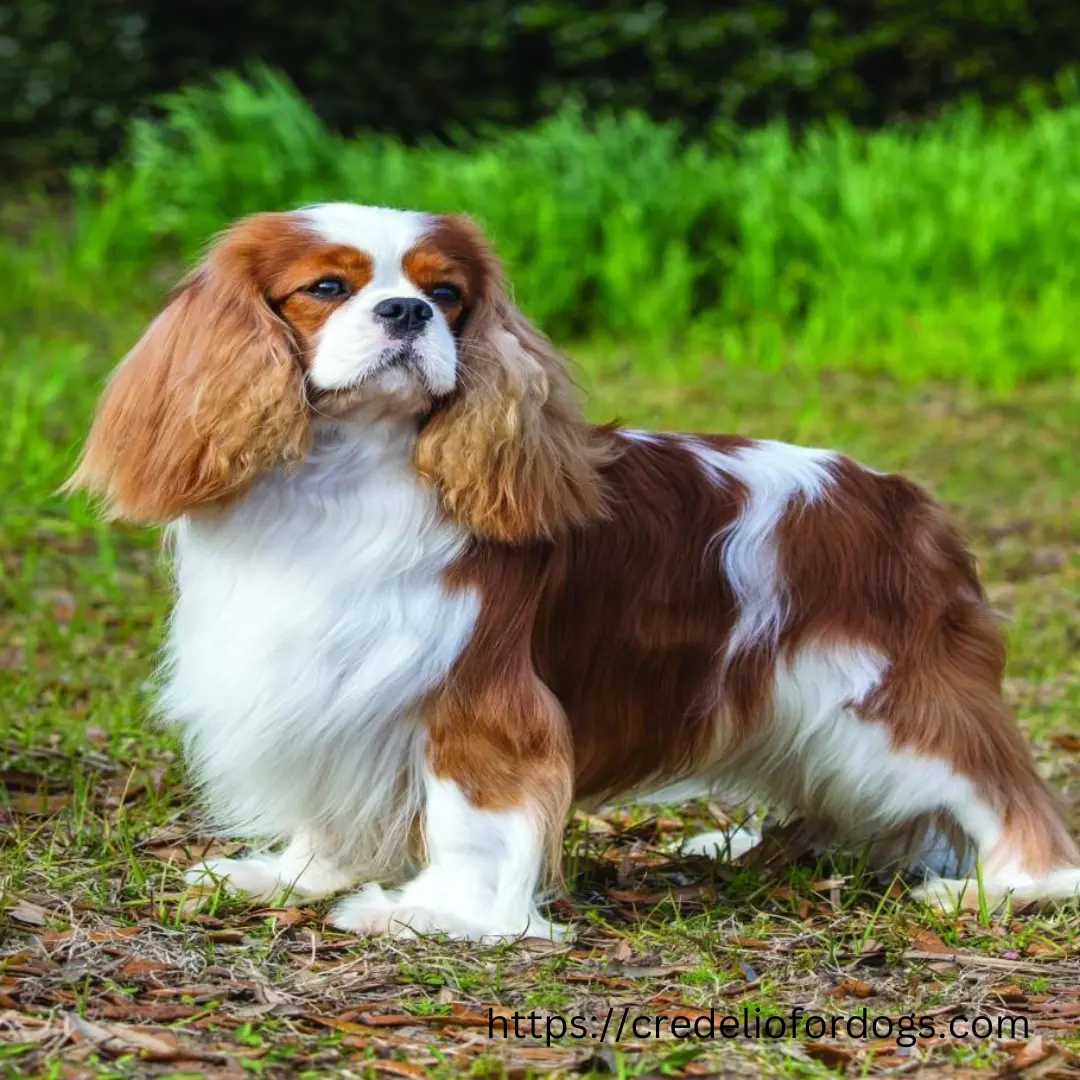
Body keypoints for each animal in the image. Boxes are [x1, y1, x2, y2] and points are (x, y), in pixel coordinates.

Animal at [67, 203, 1080, 937]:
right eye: (325, 286)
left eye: (447, 293)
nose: (408, 312)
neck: (346, 473)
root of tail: (906, 499)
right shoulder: (323, 677)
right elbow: (327, 798)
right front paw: (294, 874)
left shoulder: (475, 695)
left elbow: (472, 815)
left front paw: (438, 915)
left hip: (888, 701)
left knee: (1012, 801)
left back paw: (1001, 889)